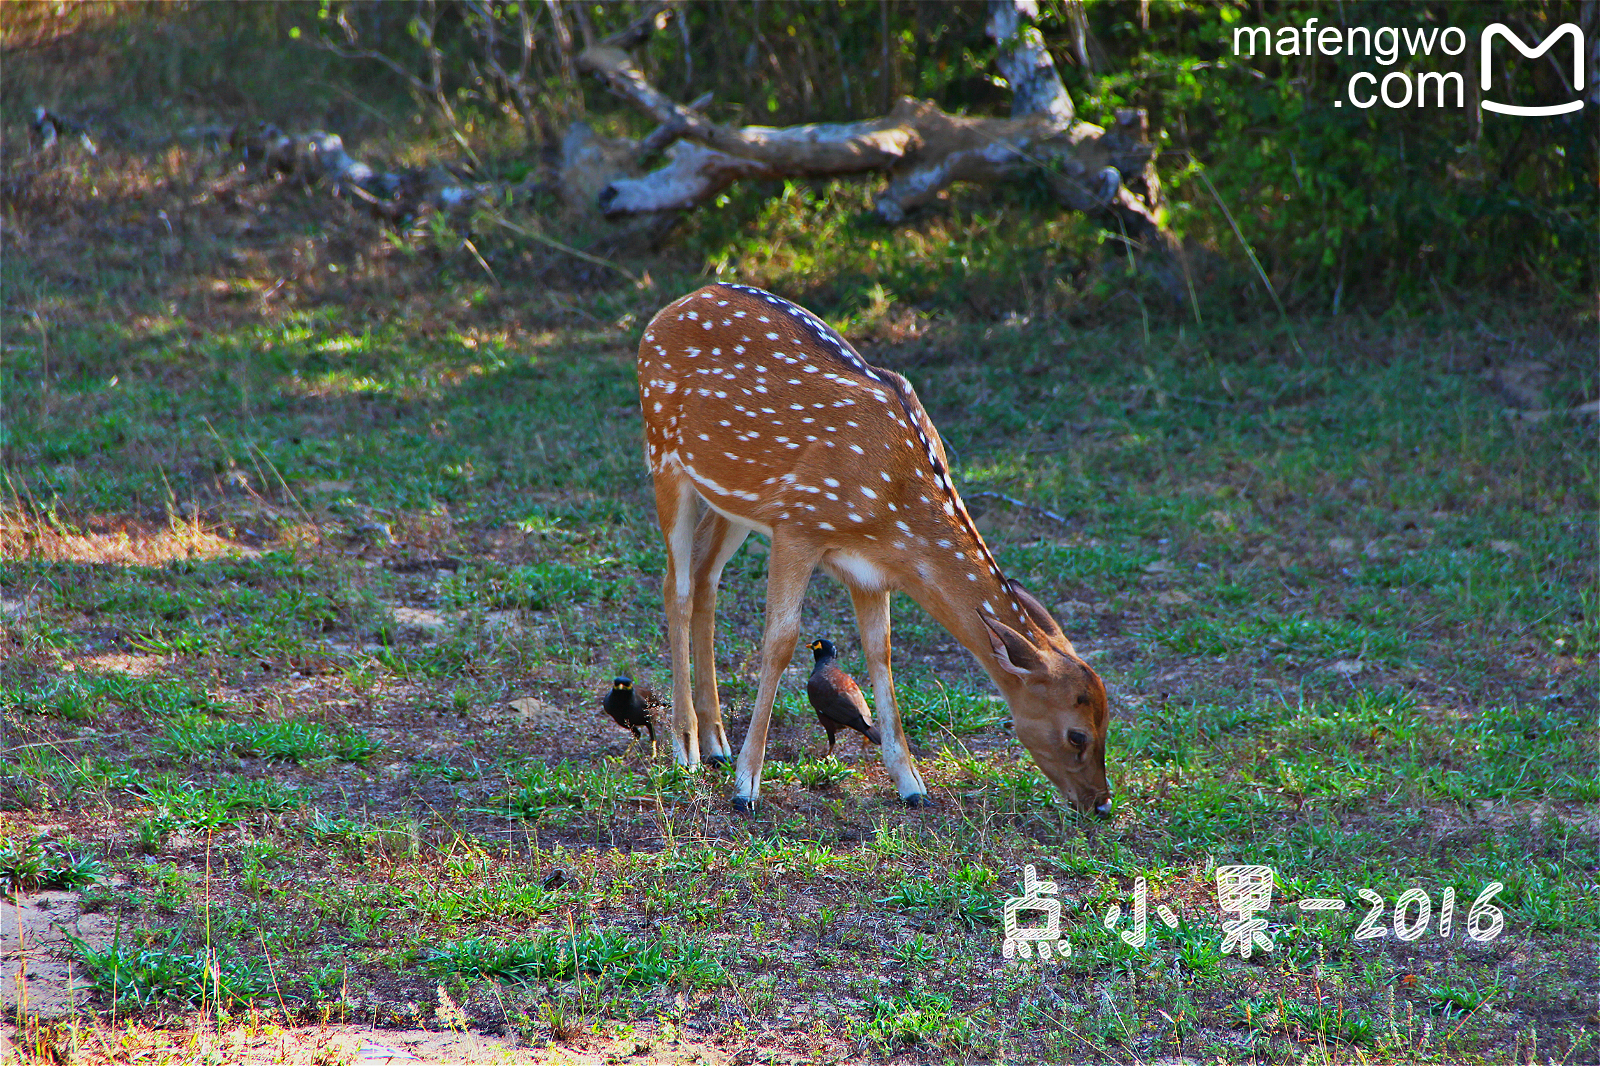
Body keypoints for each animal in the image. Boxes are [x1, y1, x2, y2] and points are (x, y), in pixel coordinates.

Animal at [636, 281, 1113, 813]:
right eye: (1077, 735)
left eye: (1107, 723)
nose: (1101, 803)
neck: (892, 512)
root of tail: (670, 310)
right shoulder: (797, 526)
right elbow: (779, 641)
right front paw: (747, 787)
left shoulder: (868, 570)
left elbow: (880, 650)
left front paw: (911, 783)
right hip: (663, 453)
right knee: (676, 585)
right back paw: (688, 750)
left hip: (732, 499)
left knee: (704, 576)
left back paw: (716, 742)